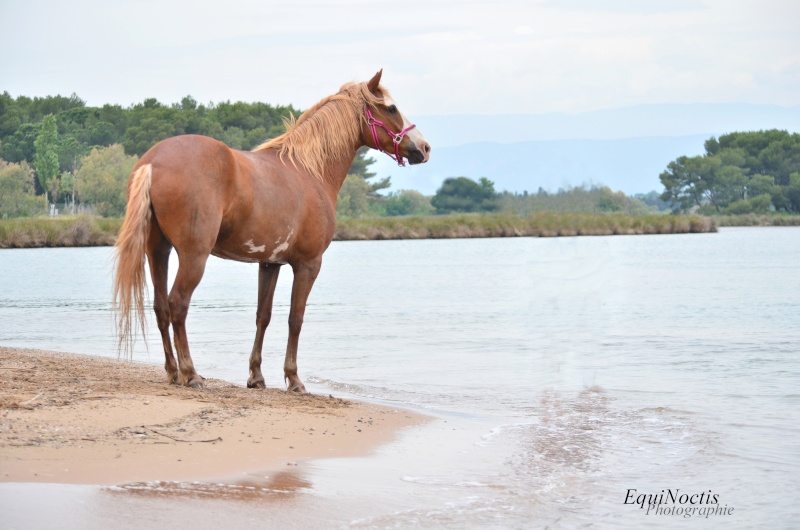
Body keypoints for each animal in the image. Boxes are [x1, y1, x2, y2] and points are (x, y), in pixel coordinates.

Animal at [112, 70, 432, 390]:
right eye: (391, 108)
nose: (424, 148)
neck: (309, 171)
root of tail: (153, 162)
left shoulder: (269, 263)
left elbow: (262, 316)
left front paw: (256, 376)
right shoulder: (308, 264)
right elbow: (295, 318)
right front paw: (294, 378)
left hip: (158, 251)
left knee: (161, 308)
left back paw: (173, 371)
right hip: (193, 256)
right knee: (178, 304)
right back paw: (190, 373)